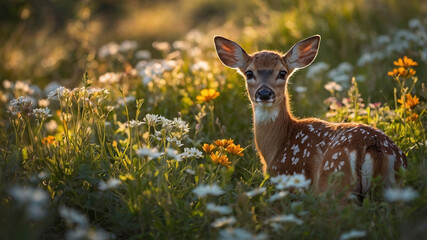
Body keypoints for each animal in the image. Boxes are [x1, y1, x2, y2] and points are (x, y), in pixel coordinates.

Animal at [214, 34, 408, 198]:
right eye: (249, 73)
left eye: (282, 73)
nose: (264, 93)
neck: (276, 147)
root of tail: (372, 146)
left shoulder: (288, 175)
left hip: (334, 179)